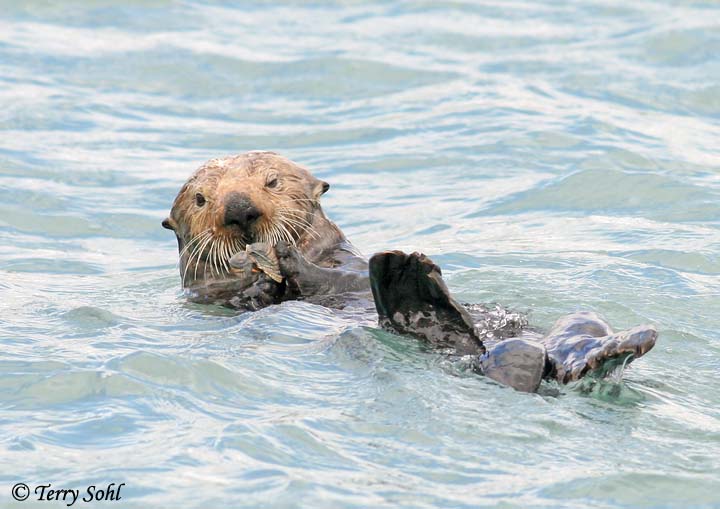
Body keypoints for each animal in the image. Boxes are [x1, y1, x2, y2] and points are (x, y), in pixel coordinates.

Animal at [163, 151, 658, 392]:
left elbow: (334, 275)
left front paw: (283, 258)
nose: (240, 210)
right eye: (202, 200)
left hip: (575, 321)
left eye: (272, 182)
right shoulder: (211, 297)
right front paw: (260, 277)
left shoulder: (341, 260)